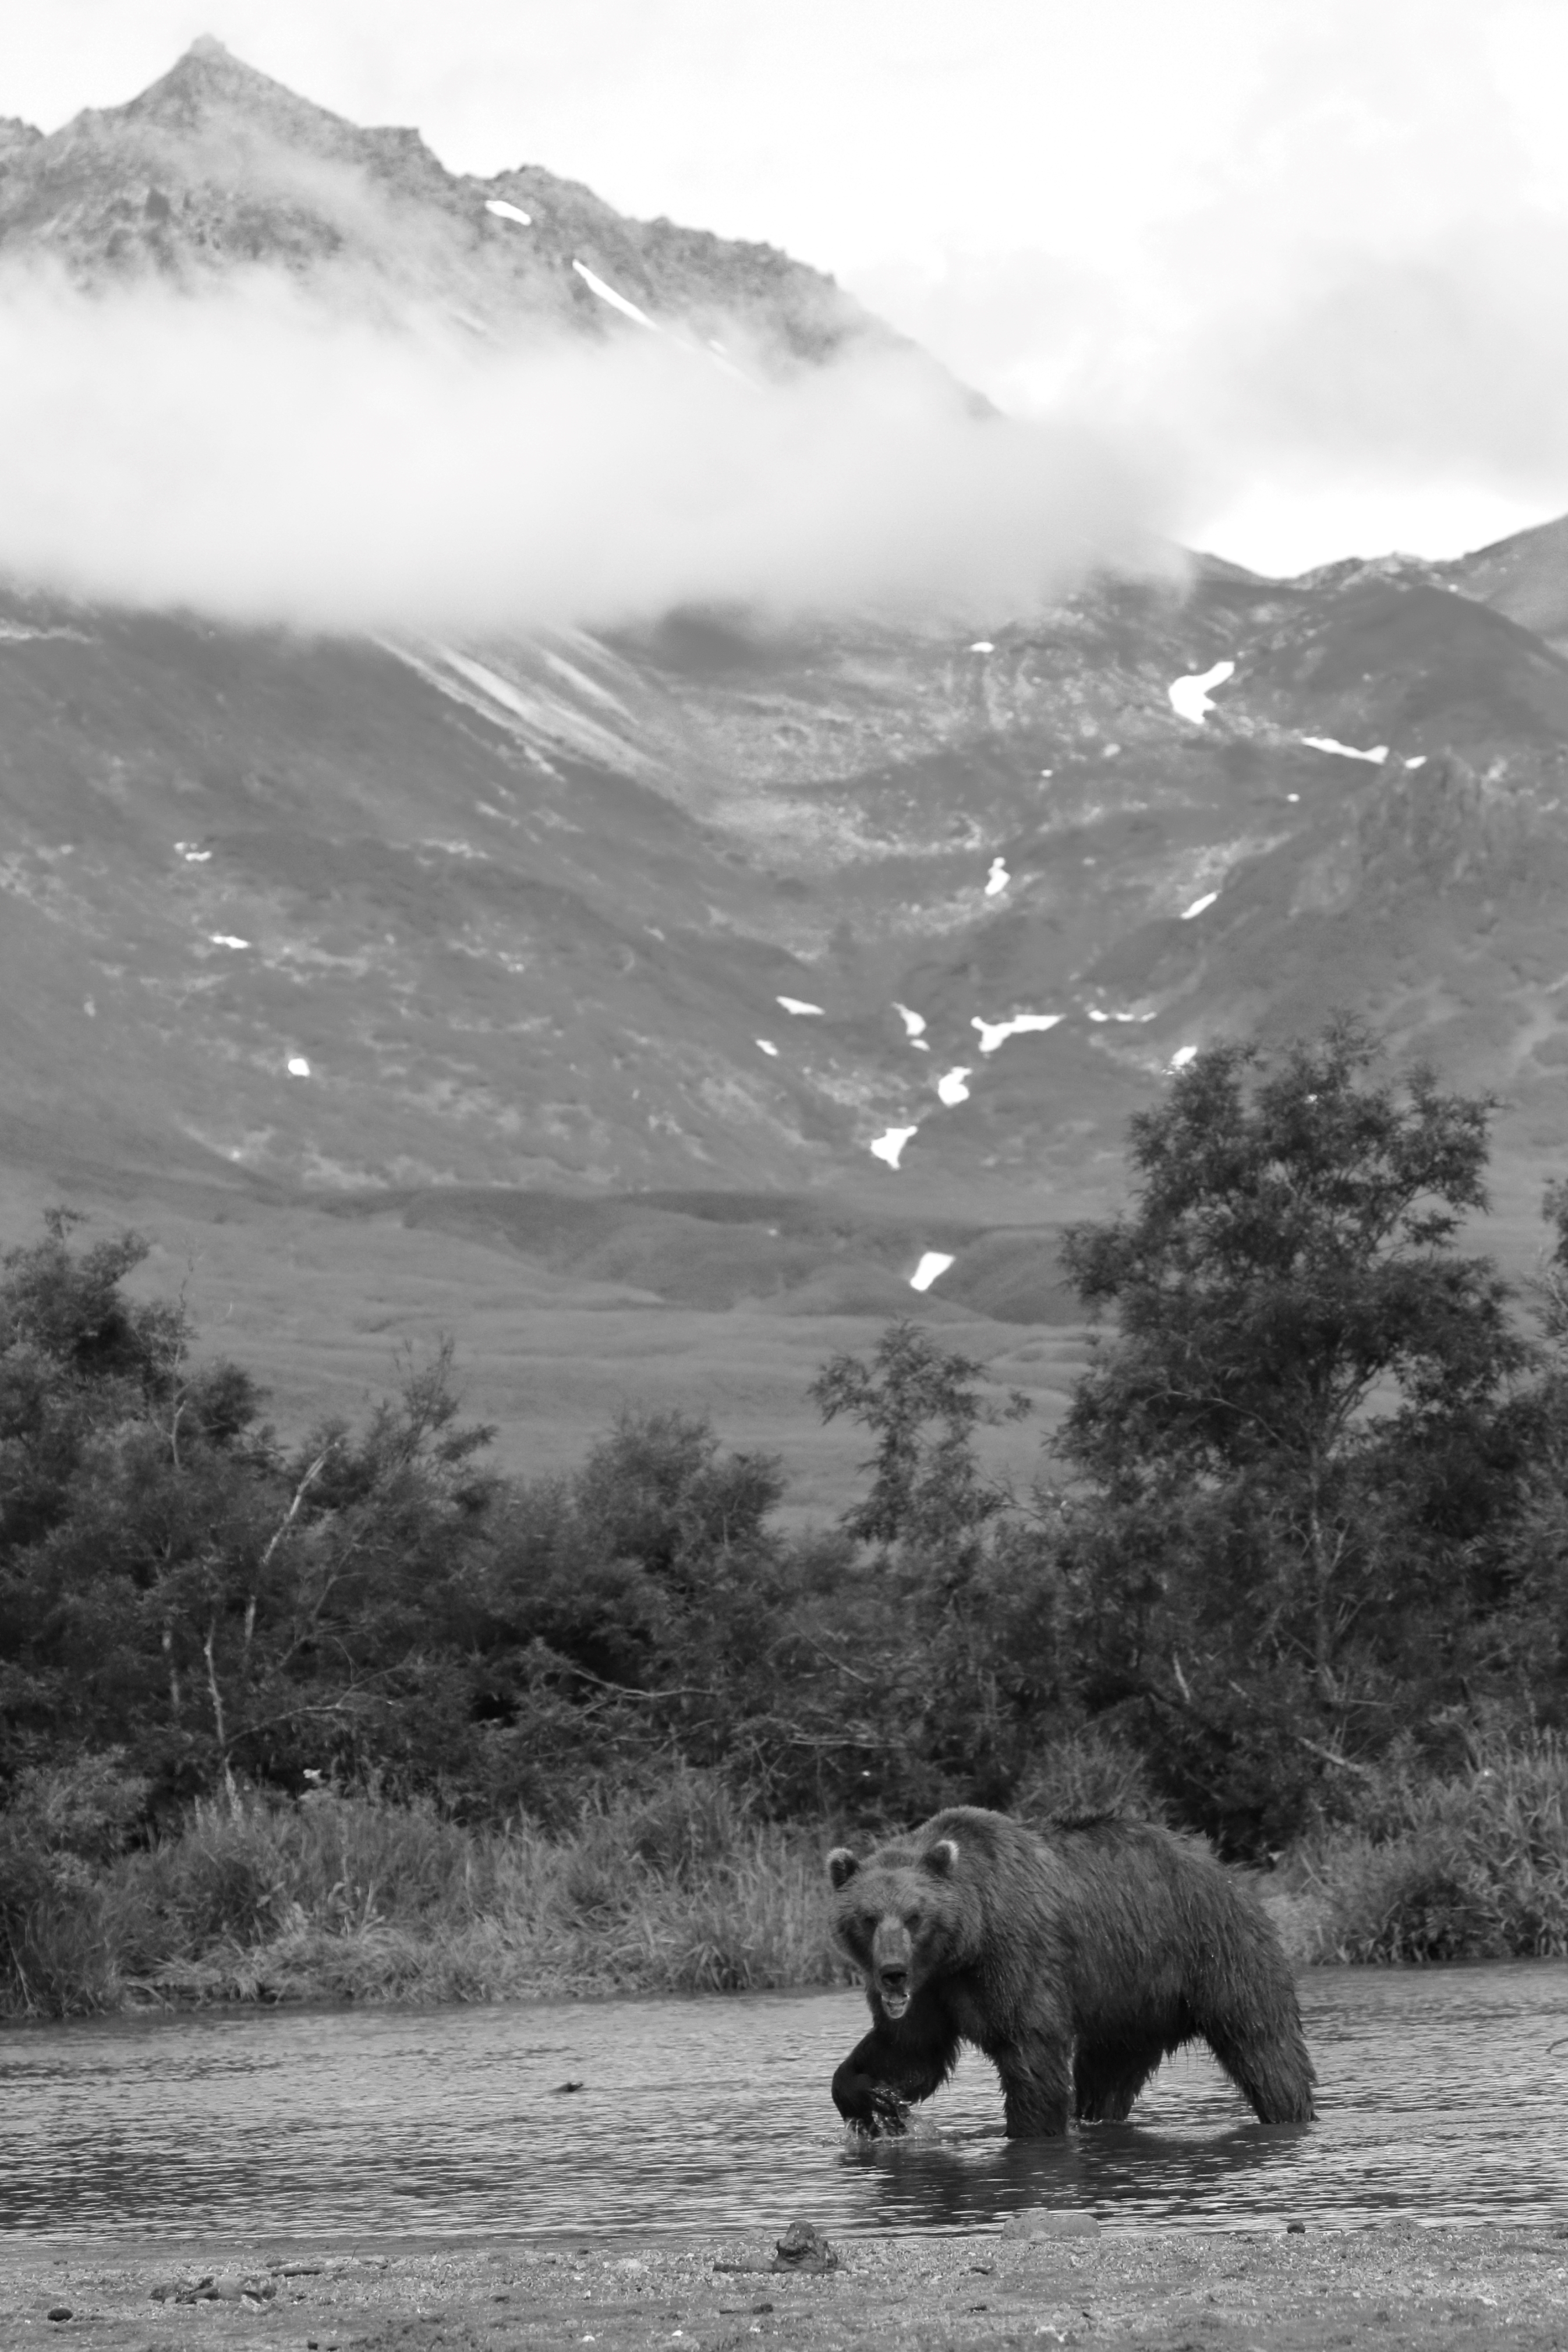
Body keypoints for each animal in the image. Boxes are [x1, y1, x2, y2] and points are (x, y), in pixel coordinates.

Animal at [827, 1806, 1316, 2145]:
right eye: (869, 1918)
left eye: (915, 1916)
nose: (892, 1973)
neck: (964, 1946)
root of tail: (1225, 1870)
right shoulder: (931, 1989)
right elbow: (910, 2050)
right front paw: (875, 2099)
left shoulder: (1015, 1959)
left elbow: (1031, 2052)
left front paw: (1028, 2130)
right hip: (1131, 2003)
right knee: (1107, 2071)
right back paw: (1096, 2115)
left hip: (1215, 1953)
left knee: (1263, 2047)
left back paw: (1290, 2110)